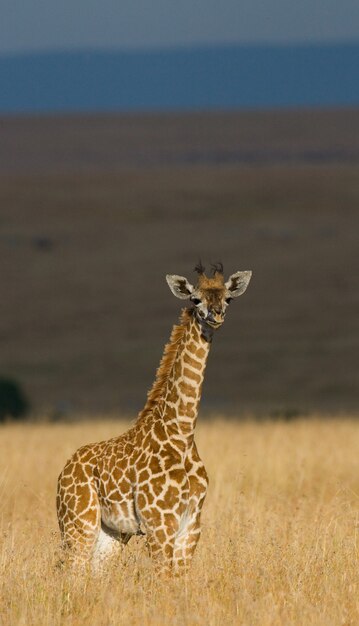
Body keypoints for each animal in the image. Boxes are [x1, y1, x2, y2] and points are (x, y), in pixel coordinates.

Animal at [57, 262, 253, 572]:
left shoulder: (191, 527)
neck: (181, 432)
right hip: (78, 523)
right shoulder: (160, 525)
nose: (216, 315)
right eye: (195, 299)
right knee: (70, 571)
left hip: (112, 532)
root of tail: (64, 470)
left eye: (228, 298)